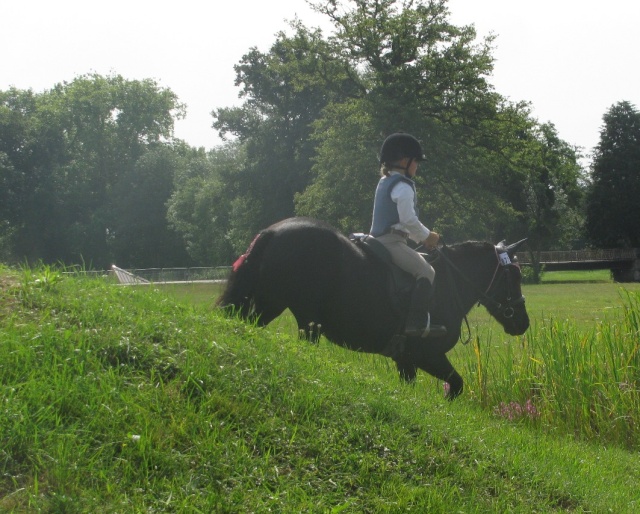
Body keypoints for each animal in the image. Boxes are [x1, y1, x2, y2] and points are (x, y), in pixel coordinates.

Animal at [218, 216, 528, 396]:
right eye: (514, 276)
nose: (522, 323)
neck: (449, 283)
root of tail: (272, 232)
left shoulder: (405, 360)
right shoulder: (427, 355)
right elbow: (456, 386)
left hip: (269, 307)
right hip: (287, 312)